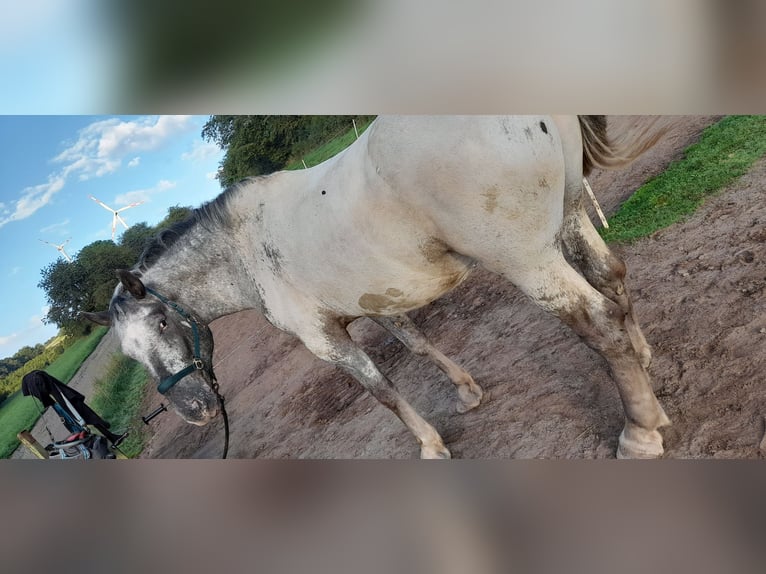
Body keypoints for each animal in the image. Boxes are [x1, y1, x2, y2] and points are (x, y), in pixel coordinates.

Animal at [84, 115, 671, 459]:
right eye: (130, 356)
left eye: (163, 321)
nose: (195, 409)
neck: (244, 248)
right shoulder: (375, 301)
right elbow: (418, 344)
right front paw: (467, 394)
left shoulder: (325, 339)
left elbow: (381, 390)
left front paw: (431, 446)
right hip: (569, 216)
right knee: (612, 278)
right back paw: (646, 367)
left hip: (526, 259)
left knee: (597, 321)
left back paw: (639, 434)